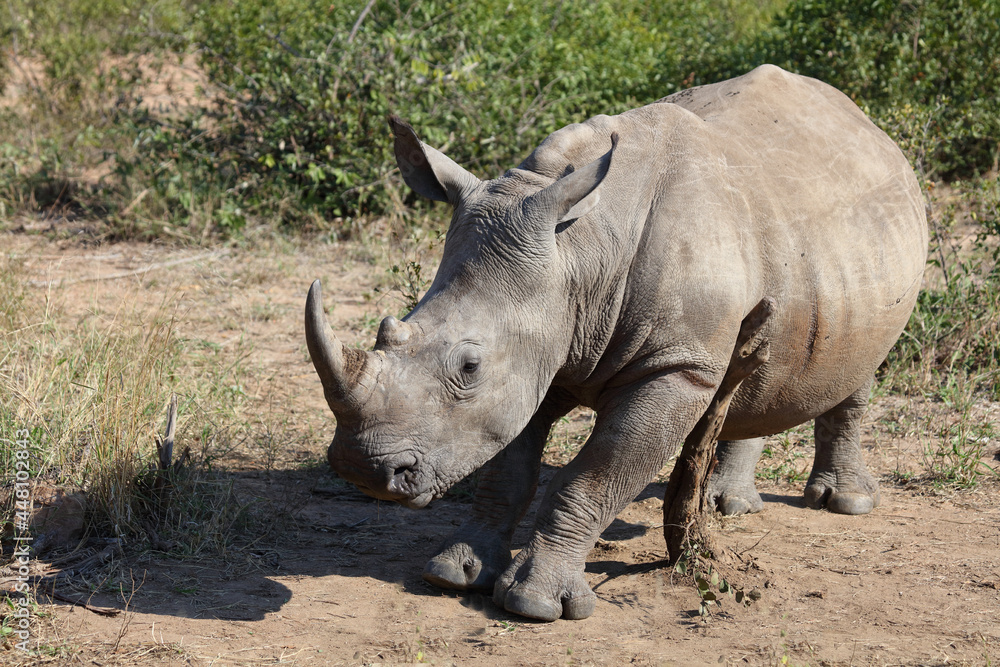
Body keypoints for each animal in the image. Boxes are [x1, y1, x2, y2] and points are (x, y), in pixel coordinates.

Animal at [305, 65, 927, 621]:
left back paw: (845, 503)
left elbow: (595, 476)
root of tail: (867, 125)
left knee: (859, 367)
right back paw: (727, 505)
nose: (363, 471)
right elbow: (508, 469)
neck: (580, 254)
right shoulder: (542, 349)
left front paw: (536, 605)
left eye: (469, 366)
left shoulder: (675, 368)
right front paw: (455, 574)